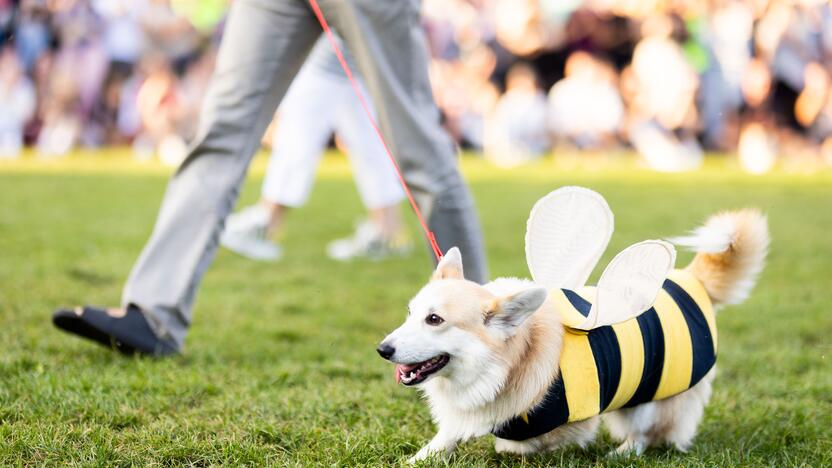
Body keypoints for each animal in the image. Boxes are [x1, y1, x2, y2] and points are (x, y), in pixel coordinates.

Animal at [376, 209, 768, 464]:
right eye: (410, 313)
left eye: (435, 319)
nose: (382, 349)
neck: (503, 366)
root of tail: (691, 279)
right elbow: (447, 436)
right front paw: (420, 458)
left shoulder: (570, 421)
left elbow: (522, 443)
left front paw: (506, 447)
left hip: (650, 395)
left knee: (647, 432)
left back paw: (622, 453)